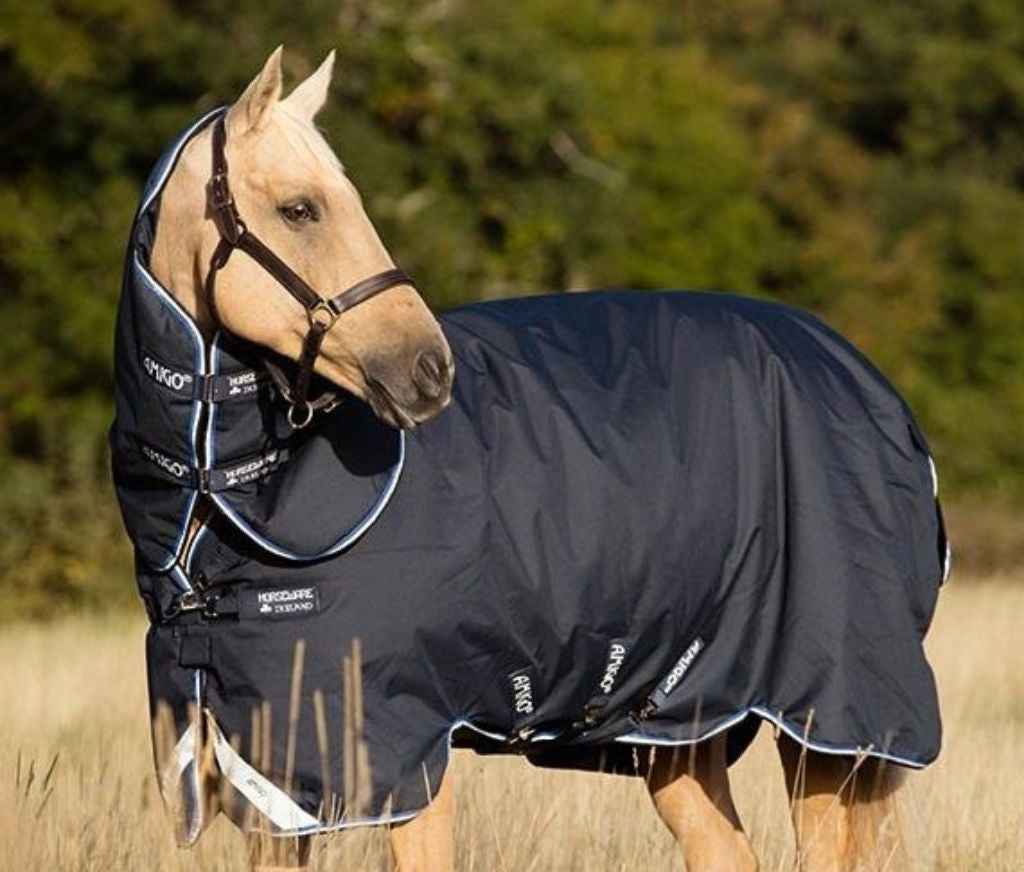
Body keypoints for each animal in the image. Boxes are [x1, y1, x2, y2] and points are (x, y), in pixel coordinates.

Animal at [114, 47, 947, 871]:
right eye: (299, 209)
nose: (428, 370)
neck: (222, 495)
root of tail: (865, 380)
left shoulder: (409, 749)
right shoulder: (273, 783)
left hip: (828, 720)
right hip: (681, 722)